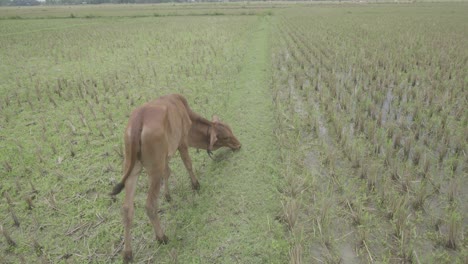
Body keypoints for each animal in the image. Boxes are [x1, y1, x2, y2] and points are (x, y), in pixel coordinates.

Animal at [110, 93, 241, 262]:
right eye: (225, 137)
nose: (238, 145)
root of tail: (139, 119)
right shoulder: (182, 141)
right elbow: (188, 164)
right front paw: (196, 185)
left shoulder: (166, 156)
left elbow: (168, 172)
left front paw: (168, 195)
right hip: (154, 169)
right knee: (150, 205)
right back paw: (162, 237)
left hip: (132, 168)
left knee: (127, 209)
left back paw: (127, 253)